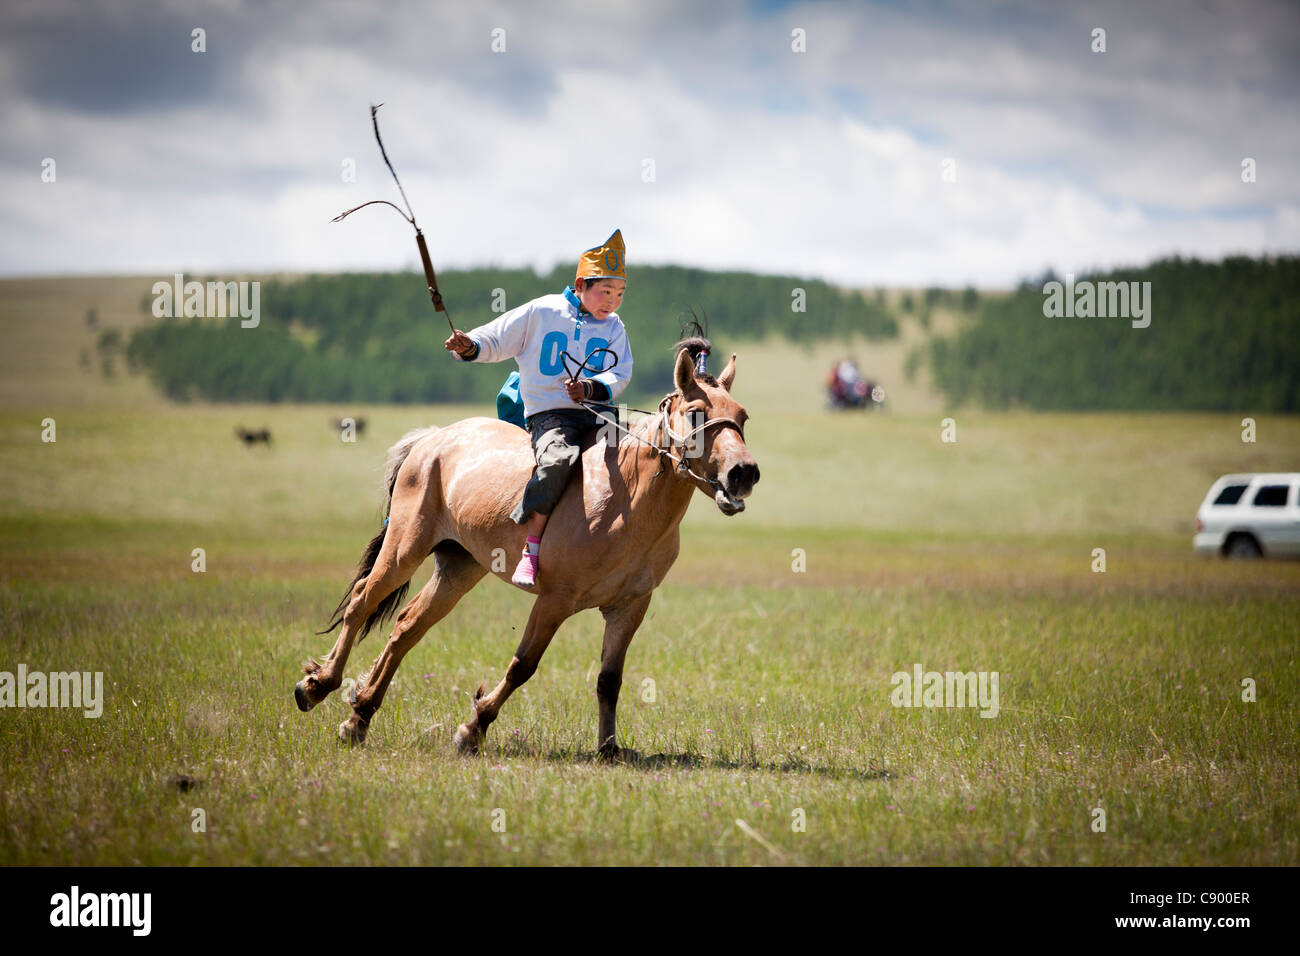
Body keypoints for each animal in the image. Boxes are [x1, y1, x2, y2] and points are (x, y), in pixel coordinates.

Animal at [292, 348, 759, 759]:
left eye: (741, 417)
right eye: (697, 413)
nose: (744, 473)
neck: (624, 496)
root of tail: (433, 440)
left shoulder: (629, 607)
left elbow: (610, 678)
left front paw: (609, 748)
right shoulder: (554, 601)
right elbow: (523, 666)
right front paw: (473, 728)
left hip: (459, 567)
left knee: (407, 627)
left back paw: (360, 716)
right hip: (404, 549)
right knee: (361, 603)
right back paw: (317, 686)